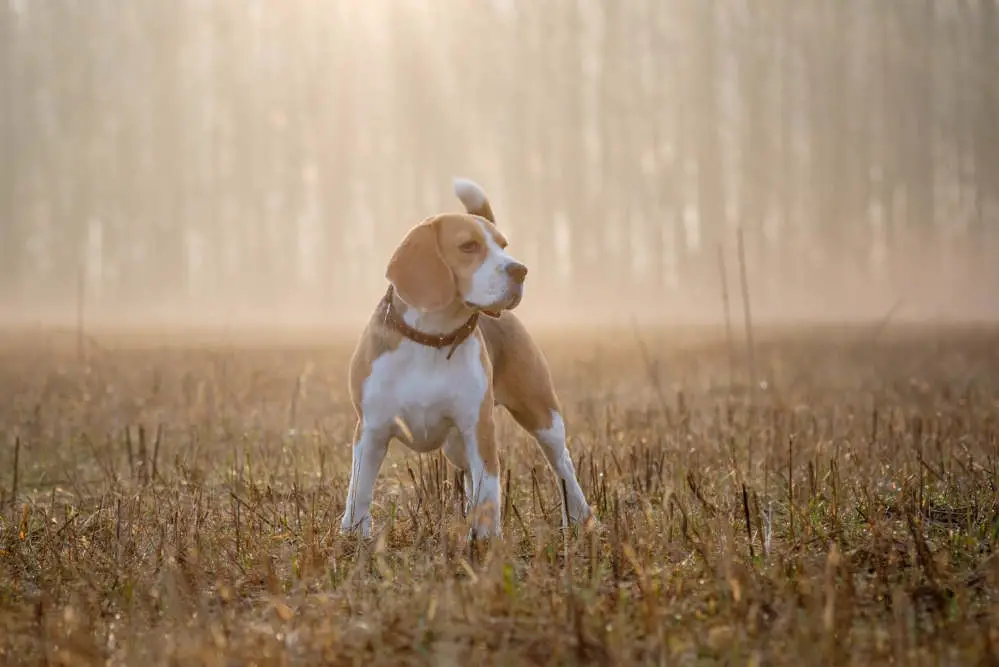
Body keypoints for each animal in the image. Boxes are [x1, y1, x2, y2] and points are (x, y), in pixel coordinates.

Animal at [344, 176, 592, 536]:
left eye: (503, 245)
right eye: (468, 247)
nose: (520, 270)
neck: (433, 338)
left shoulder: (479, 428)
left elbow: (489, 489)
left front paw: (486, 540)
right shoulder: (371, 430)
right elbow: (359, 490)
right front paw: (354, 534)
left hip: (543, 416)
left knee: (564, 466)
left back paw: (579, 517)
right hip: (456, 444)